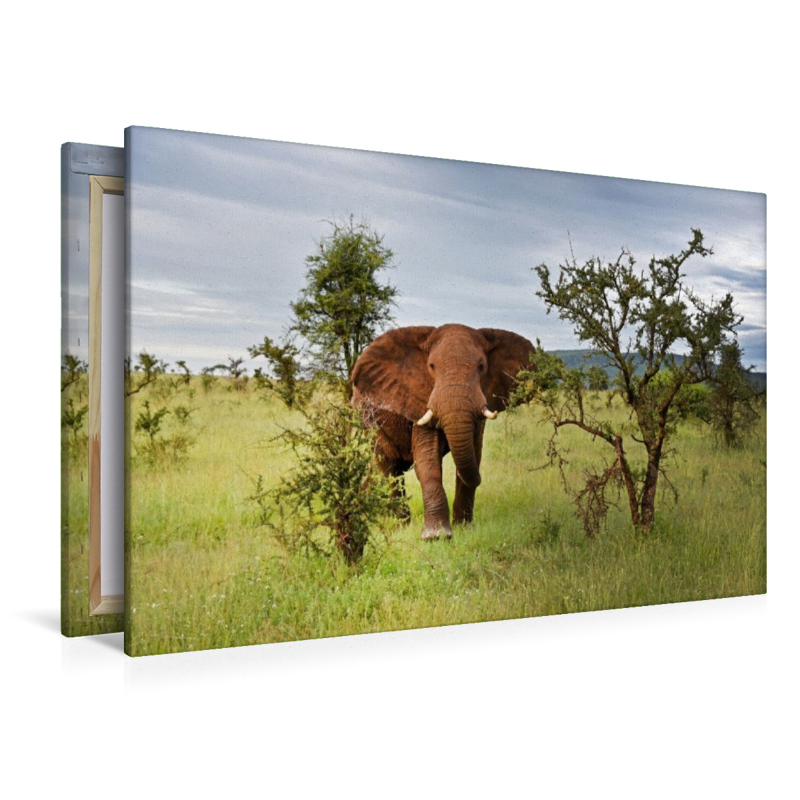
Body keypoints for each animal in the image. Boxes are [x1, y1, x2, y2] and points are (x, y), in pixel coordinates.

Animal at [351, 324, 536, 540]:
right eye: (431, 367)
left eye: (481, 366)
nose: (480, 480)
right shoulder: (421, 400)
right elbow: (427, 460)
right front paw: (436, 536)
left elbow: (475, 452)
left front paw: (464, 530)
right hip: (369, 421)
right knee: (389, 468)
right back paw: (400, 527)